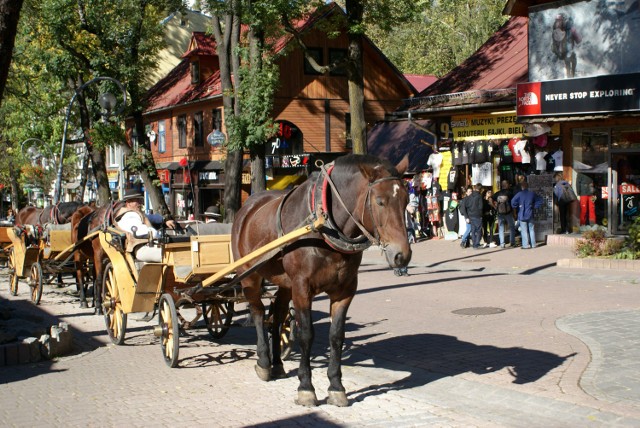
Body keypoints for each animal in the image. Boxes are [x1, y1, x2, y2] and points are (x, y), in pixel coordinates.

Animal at [230, 152, 410, 406]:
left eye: (406, 200)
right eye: (380, 201)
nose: (401, 255)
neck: (323, 225)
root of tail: (246, 208)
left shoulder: (345, 290)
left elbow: (336, 336)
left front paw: (336, 386)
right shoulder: (302, 287)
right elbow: (306, 335)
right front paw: (306, 387)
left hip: (285, 283)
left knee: (277, 316)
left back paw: (277, 364)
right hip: (250, 276)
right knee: (257, 312)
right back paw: (264, 362)